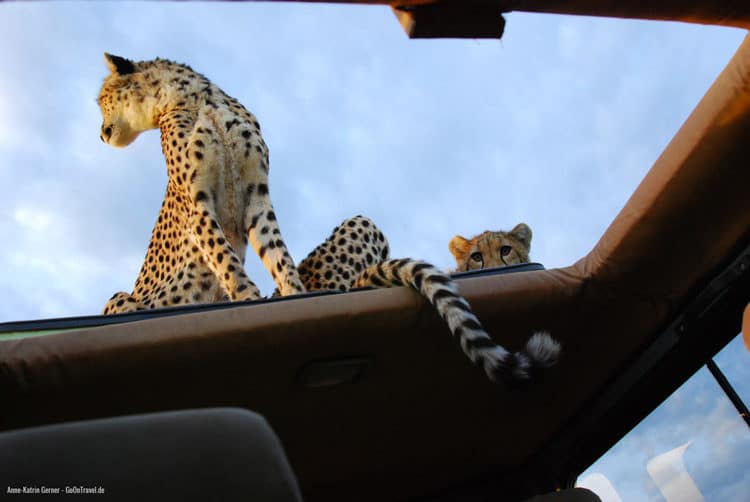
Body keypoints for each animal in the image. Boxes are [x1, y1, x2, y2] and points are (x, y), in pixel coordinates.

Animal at [99, 55, 306, 314]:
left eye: (101, 100)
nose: (101, 134)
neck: (199, 100)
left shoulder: (257, 196)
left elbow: (278, 253)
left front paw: (296, 293)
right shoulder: (197, 203)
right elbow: (224, 257)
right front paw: (248, 297)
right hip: (117, 298)